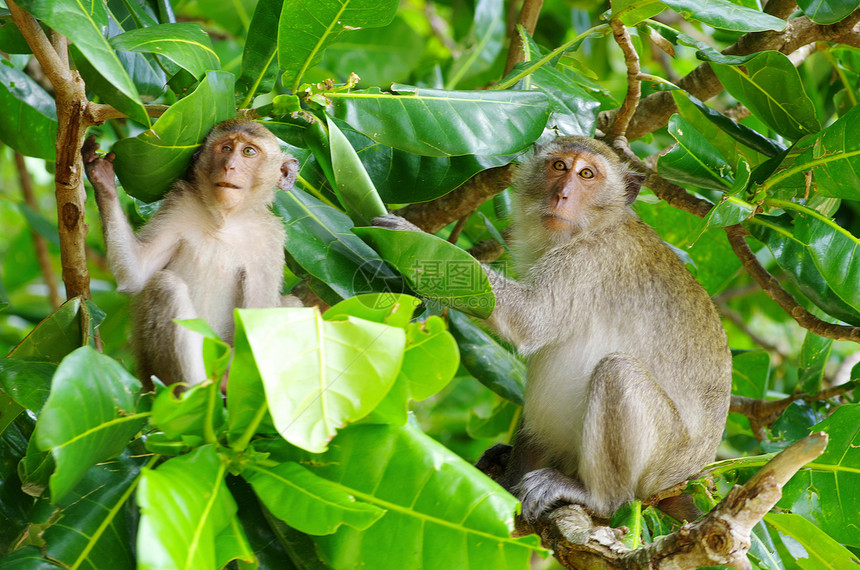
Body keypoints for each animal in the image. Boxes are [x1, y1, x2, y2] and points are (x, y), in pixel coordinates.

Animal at [84, 117, 298, 388]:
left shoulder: (270, 240)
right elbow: (137, 274)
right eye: (226, 148)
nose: (229, 167)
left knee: (292, 304)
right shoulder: (179, 204)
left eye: (249, 152)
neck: (224, 222)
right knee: (165, 285)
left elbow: (258, 312)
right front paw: (102, 177)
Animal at [372, 135, 728, 520]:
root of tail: (688, 477)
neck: (598, 225)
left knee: (616, 371)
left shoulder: (590, 259)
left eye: (587, 174)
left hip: (663, 460)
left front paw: (411, 241)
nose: (562, 195)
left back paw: (597, 496)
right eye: (559, 166)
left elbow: (531, 319)